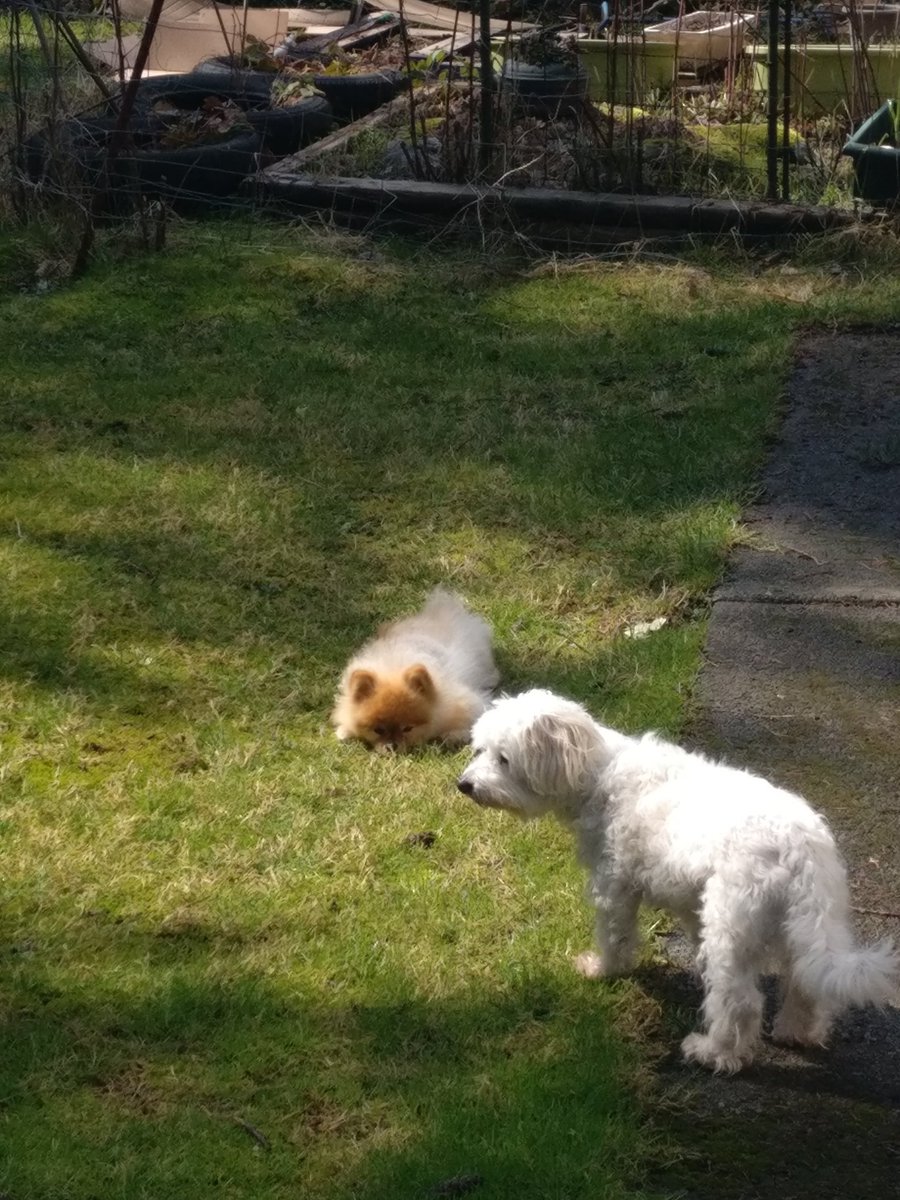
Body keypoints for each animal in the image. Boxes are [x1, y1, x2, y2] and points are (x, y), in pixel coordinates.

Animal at [331, 588, 501, 748]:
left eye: (408, 729)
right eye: (378, 730)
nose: (392, 746)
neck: (394, 668)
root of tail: (444, 609)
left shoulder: (466, 701)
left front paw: (455, 735)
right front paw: (345, 731)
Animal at [460, 691, 897, 1075]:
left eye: (503, 759)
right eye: (480, 749)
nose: (463, 785)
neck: (598, 773)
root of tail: (799, 846)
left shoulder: (614, 886)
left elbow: (615, 938)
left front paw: (602, 970)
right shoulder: (690, 903)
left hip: (732, 927)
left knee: (740, 1002)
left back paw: (714, 1053)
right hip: (800, 926)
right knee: (803, 984)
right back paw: (795, 1032)